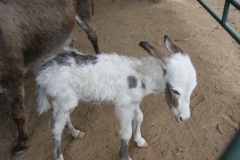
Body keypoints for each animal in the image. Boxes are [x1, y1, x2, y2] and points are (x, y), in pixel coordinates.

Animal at [36, 35, 197, 159]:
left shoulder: (134, 101)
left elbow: (139, 117)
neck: (141, 74)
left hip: (65, 100)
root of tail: (42, 73)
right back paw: (59, 156)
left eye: (192, 89)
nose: (184, 118)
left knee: (63, 119)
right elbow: (126, 132)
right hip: (65, 99)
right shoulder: (123, 105)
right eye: (175, 90)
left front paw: (139, 140)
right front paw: (125, 156)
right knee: (55, 126)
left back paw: (75, 133)